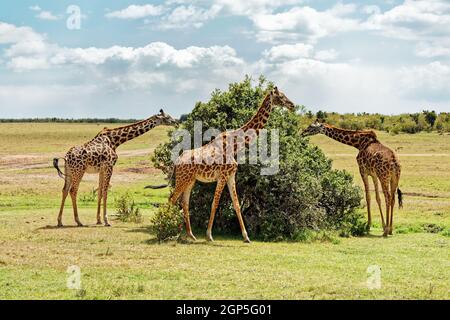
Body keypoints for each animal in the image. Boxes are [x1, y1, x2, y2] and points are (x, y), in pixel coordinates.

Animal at [165, 87, 296, 242]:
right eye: (280, 97)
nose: (292, 105)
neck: (235, 145)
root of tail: (177, 161)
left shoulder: (231, 175)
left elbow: (237, 204)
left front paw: (246, 237)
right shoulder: (222, 176)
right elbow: (215, 204)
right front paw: (209, 235)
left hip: (190, 180)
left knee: (184, 203)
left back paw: (190, 235)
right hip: (182, 179)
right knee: (172, 199)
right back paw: (166, 230)